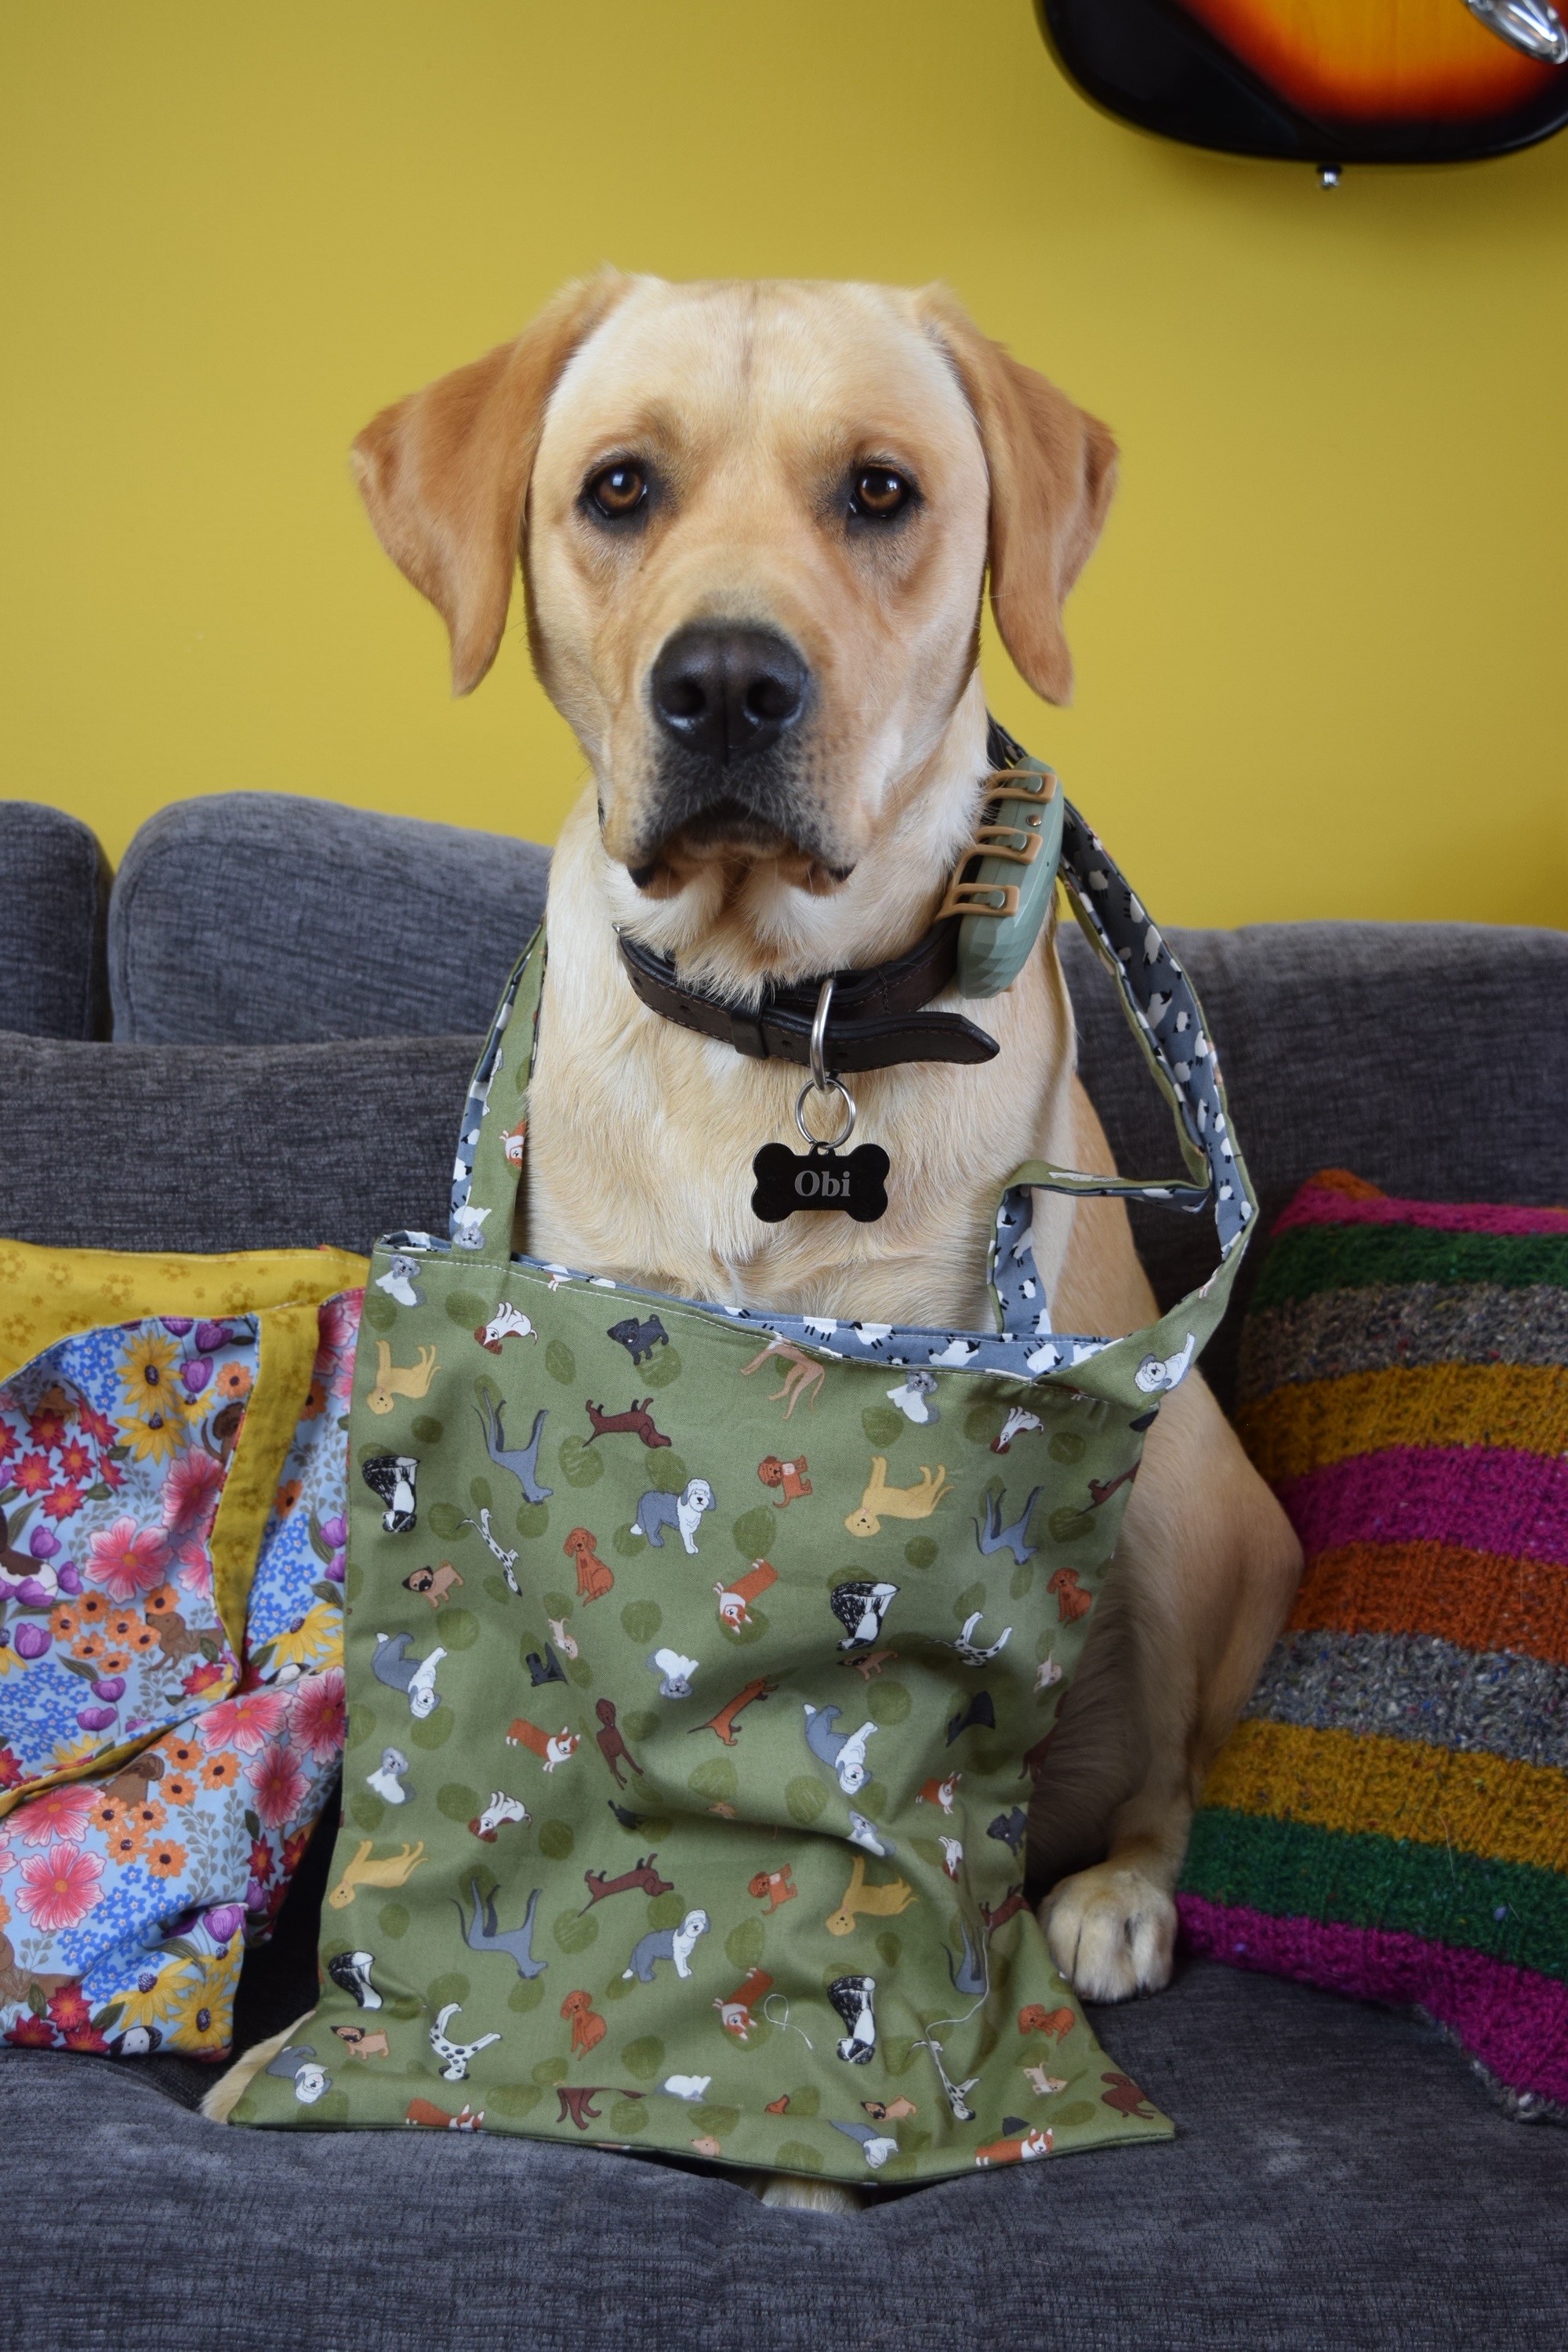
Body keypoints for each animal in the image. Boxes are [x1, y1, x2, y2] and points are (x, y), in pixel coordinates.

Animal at [205, 273, 1300, 2217]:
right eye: (618, 487)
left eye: (879, 492)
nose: (723, 682)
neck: (776, 1031)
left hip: (1173, 1499)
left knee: (1156, 1791)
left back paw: (1106, 1905)